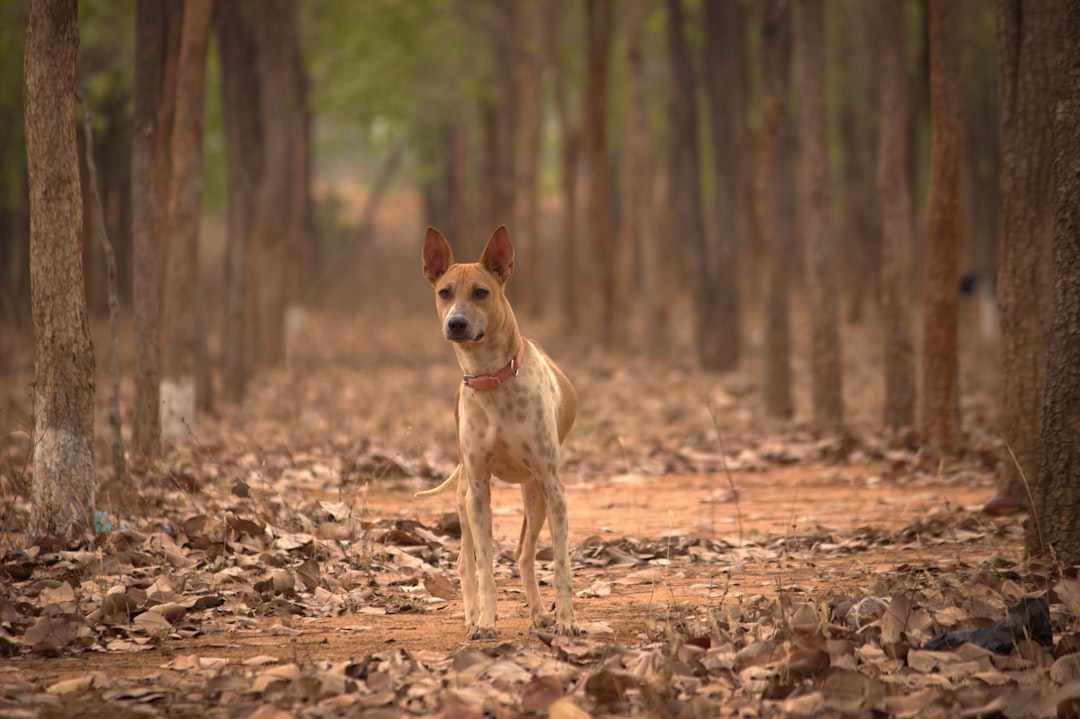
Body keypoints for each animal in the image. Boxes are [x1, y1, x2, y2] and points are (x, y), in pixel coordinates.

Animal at [416, 225, 578, 639]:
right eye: (444, 292)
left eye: (480, 292)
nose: (456, 323)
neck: (492, 377)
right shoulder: (478, 490)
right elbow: (485, 567)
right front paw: (487, 622)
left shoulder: (555, 488)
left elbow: (561, 563)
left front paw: (567, 620)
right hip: (464, 498)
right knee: (466, 563)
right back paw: (472, 616)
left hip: (536, 496)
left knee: (524, 555)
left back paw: (540, 613)